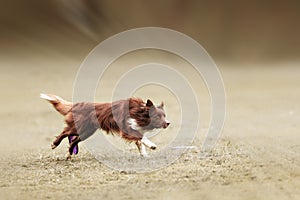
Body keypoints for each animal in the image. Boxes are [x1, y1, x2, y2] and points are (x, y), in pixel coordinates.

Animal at [40, 94, 170, 159]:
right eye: (157, 116)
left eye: (164, 115)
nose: (168, 123)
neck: (139, 111)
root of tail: (76, 105)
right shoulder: (127, 128)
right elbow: (141, 138)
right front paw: (152, 145)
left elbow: (140, 142)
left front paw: (144, 154)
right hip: (79, 128)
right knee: (65, 133)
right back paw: (54, 144)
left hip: (87, 131)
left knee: (74, 141)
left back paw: (68, 155)